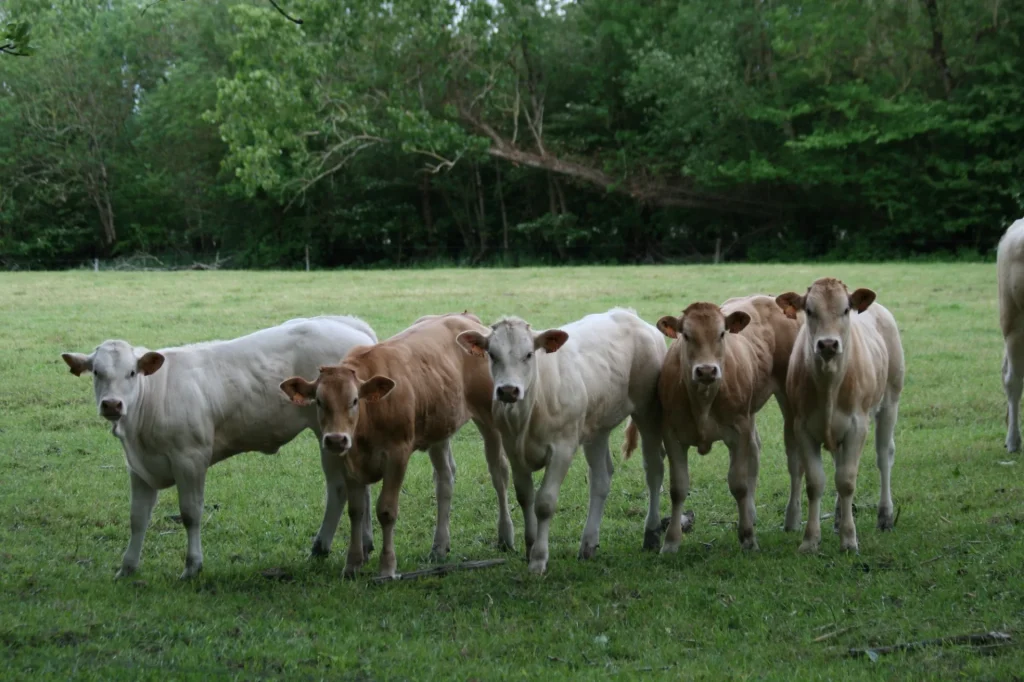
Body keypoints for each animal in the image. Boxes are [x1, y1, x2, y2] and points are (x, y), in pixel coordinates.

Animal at [278, 311, 512, 577]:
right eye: (318, 401)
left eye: (354, 400)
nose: (336, 439)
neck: (368, 421)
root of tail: (463, 317)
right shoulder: (349, 461)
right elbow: (355, 510)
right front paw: (352, 563)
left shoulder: (397, 455)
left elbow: (386, 511)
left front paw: (387, 567)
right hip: (439, 426)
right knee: (445, 479)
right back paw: (440, 545)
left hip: (489, 418)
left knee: (499, 473)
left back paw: (506, 536)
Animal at [454, 307, 663, 573]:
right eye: (492, 354)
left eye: (529, 354)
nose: (508, 390)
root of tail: (627, 314)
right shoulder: (513, 450)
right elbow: (525, 497)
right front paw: (530, 547)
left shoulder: (563, 448)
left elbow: (544, 503)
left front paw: (539, 559)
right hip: (597, 427)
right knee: (601, 478)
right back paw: (588, 544)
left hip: (648, 411)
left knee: (654, 469)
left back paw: (652, 533)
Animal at [626, 294, 802, 548]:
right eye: (686, 335)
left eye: (721, 333)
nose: (707, 370)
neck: (703, 401)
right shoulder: (672, 434)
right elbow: (678, 488)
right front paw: (671, 542)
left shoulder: (738, 430)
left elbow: (738, 484)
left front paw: (748, 538)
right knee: (755, 449)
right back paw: (751, 512)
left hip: (788, 399)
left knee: (794, 458)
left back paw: (792, 519)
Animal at [774, 278, 905, 548]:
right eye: (809, 311)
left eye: (845, 310)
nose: (828, 344)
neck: (829, 384)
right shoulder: (802, 426)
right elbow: (816, 482)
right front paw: (810, 541)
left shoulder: (857, 425)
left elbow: (846, 481)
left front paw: (849, 539)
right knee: (839, 462)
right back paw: (836, 518)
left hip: (890, 399)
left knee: (884, 455)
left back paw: (885, 515)